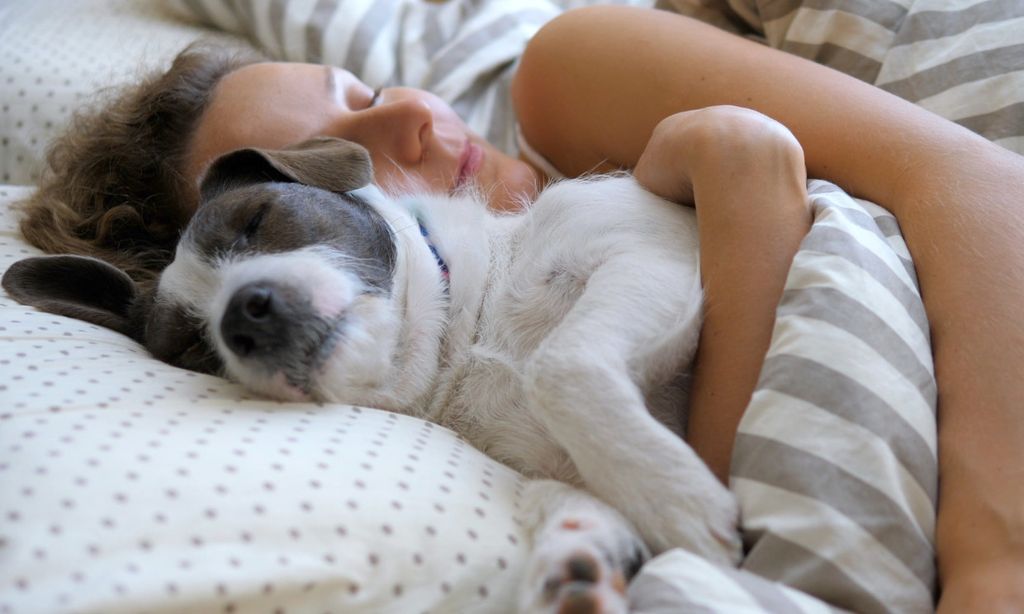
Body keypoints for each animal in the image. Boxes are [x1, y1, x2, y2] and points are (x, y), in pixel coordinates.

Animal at [4, 137, 741, 609]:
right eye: (192, 345)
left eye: (256, 219)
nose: (244, 315)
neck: (468, 333)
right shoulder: (548, 465)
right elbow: (568, 498)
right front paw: (577, 566)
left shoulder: (650, 257)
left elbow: (560, 366)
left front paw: (681, 501)